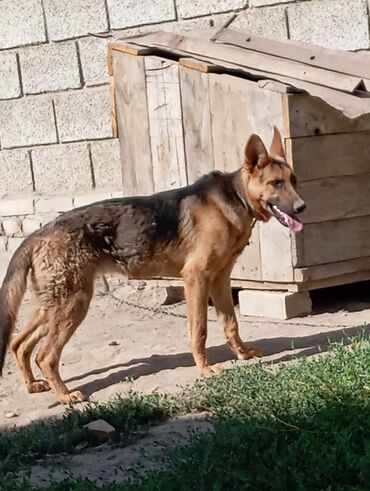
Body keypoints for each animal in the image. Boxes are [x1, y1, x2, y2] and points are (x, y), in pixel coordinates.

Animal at [0, 127, 304, 404]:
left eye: (293, 180)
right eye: (276, 184)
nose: (303, 207)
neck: (235, 198)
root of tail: (38, 233)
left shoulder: (220, 279)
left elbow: (231, 323)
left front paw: (241, 354)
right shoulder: (196, 278)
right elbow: (199, 331)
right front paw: (205, 369)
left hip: (54, 307)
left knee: (19, 344)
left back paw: (32, 385)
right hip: (73, 304)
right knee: (45, 355)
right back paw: (64, 395)